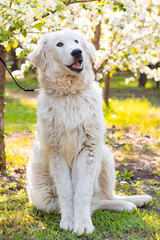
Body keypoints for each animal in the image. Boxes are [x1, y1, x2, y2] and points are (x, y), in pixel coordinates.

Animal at [26, 29, 152, 234]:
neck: (69, 95)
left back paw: (136, 200)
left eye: (77, 41)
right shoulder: (57, 154)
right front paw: (69, 222)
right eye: (59, 44)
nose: (77, 52)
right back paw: (127, 206)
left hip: (105, 156)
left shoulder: (89, 150)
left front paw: (83, 224)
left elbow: (82, 193)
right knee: (98, 202)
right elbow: (67, 193)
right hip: (45, 197)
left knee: (106, 196)